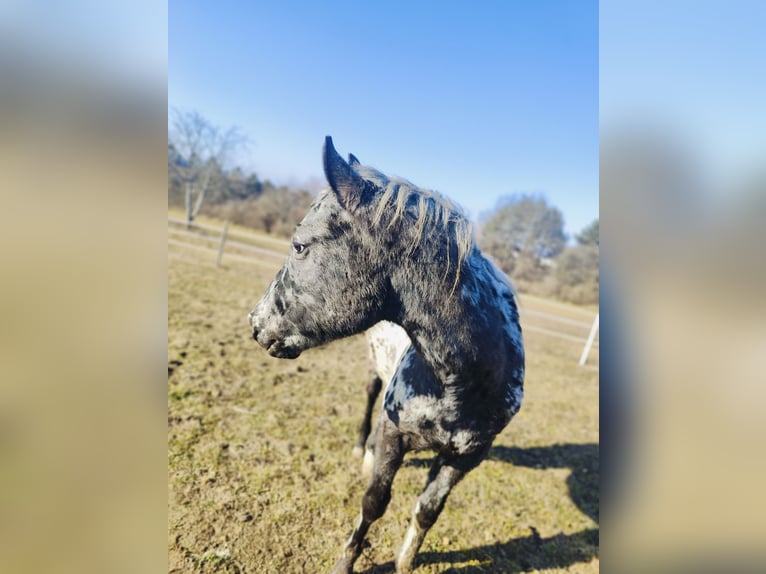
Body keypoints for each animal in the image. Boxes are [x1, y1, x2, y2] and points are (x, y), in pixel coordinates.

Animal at [249, 138, 524, 574]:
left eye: (300, 246)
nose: (256, 323)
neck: (462, 384)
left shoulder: (465, 459)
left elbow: (428, 511)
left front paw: (405, 561)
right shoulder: (396, 436)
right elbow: (374, 502)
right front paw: (344, 562)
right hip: (374, 373)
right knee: (368, 400)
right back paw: (362, 448)